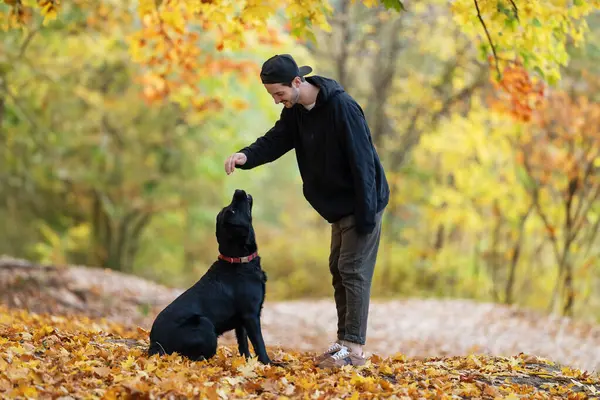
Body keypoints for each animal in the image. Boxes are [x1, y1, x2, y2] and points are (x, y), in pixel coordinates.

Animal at [148, 189, 272, 364]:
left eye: (228, 208)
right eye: (232, 210)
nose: (238, 191)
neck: (238, 260)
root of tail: (154, 343)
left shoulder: (241, 322)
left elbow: (243, 344)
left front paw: (246, 362)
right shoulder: (251, 315)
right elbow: (259, 344)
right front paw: (269, 364)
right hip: (204, 323)